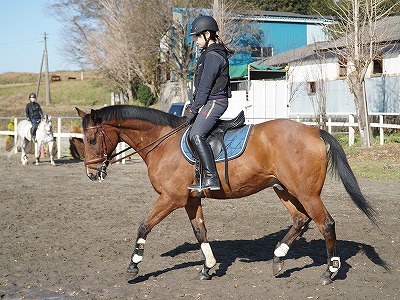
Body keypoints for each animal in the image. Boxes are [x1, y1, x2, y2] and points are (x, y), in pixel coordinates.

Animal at [76, 105, 378, 286]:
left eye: (90, 139)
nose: (91, 174)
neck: (163, 143)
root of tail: (314, 130)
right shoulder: (191, 200)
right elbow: (200, 232)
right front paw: (208, 267)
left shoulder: (170, 198)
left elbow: (143, 226)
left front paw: (133, 265)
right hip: (284, 190)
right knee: (300, 220)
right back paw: (278, 259)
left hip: (306, 193)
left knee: (325, 223)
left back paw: (330, 272)